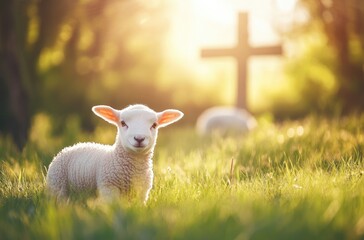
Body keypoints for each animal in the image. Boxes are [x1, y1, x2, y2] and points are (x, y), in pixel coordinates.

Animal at [46, 104, 182, 203]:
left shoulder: (142, 192)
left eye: (154, 125)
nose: (139, 138)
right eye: (123, 123)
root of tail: (70, 147)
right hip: (57, 186)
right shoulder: (108, 188)